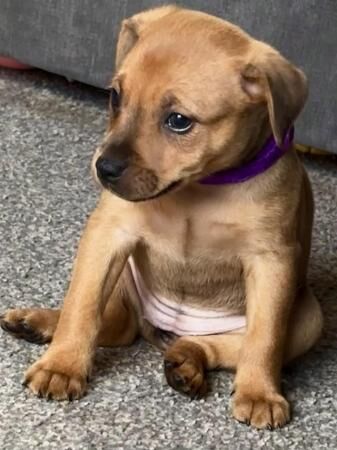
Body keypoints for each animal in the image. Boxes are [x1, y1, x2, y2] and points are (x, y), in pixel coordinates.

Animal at [0, 6, 322, 428]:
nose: (104, 168)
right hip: (122, 276)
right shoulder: (109, 235)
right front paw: (62, 365)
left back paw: (187, 362)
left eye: (179, 121)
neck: (199, 189)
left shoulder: (271, 262)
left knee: (217, 345)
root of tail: (164, 331)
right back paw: (37, 324)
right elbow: (81, 307)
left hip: (309, 321)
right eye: (115, 96)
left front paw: (260, 393)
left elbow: (264, 339)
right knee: (115, 323)